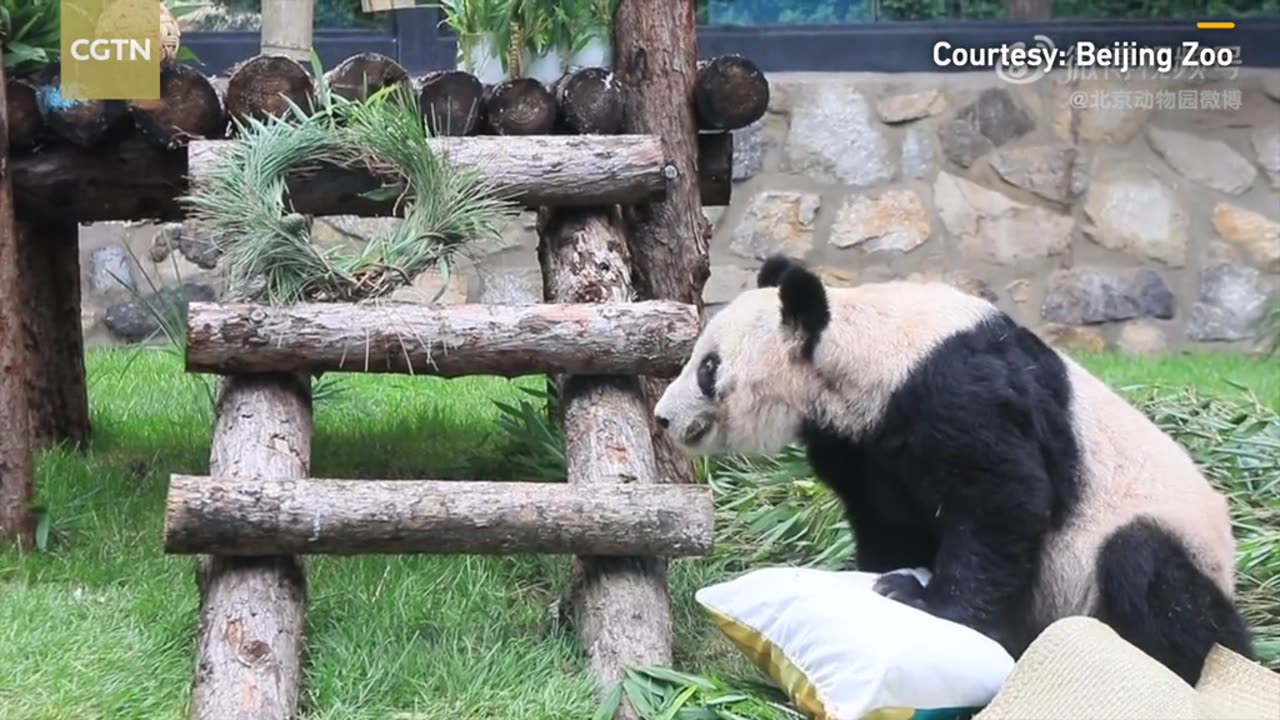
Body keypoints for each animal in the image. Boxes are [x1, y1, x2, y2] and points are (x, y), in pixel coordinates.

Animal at [655, 252, 1254, 681]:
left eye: (708, 368)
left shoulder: (957, 390)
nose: (662, 417)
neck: (856, 349)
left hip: (1156, 542)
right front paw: (884, 573)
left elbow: (1003, 496)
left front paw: (921, 600)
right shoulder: (862, 441)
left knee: (1150, 576)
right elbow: (889, 518)